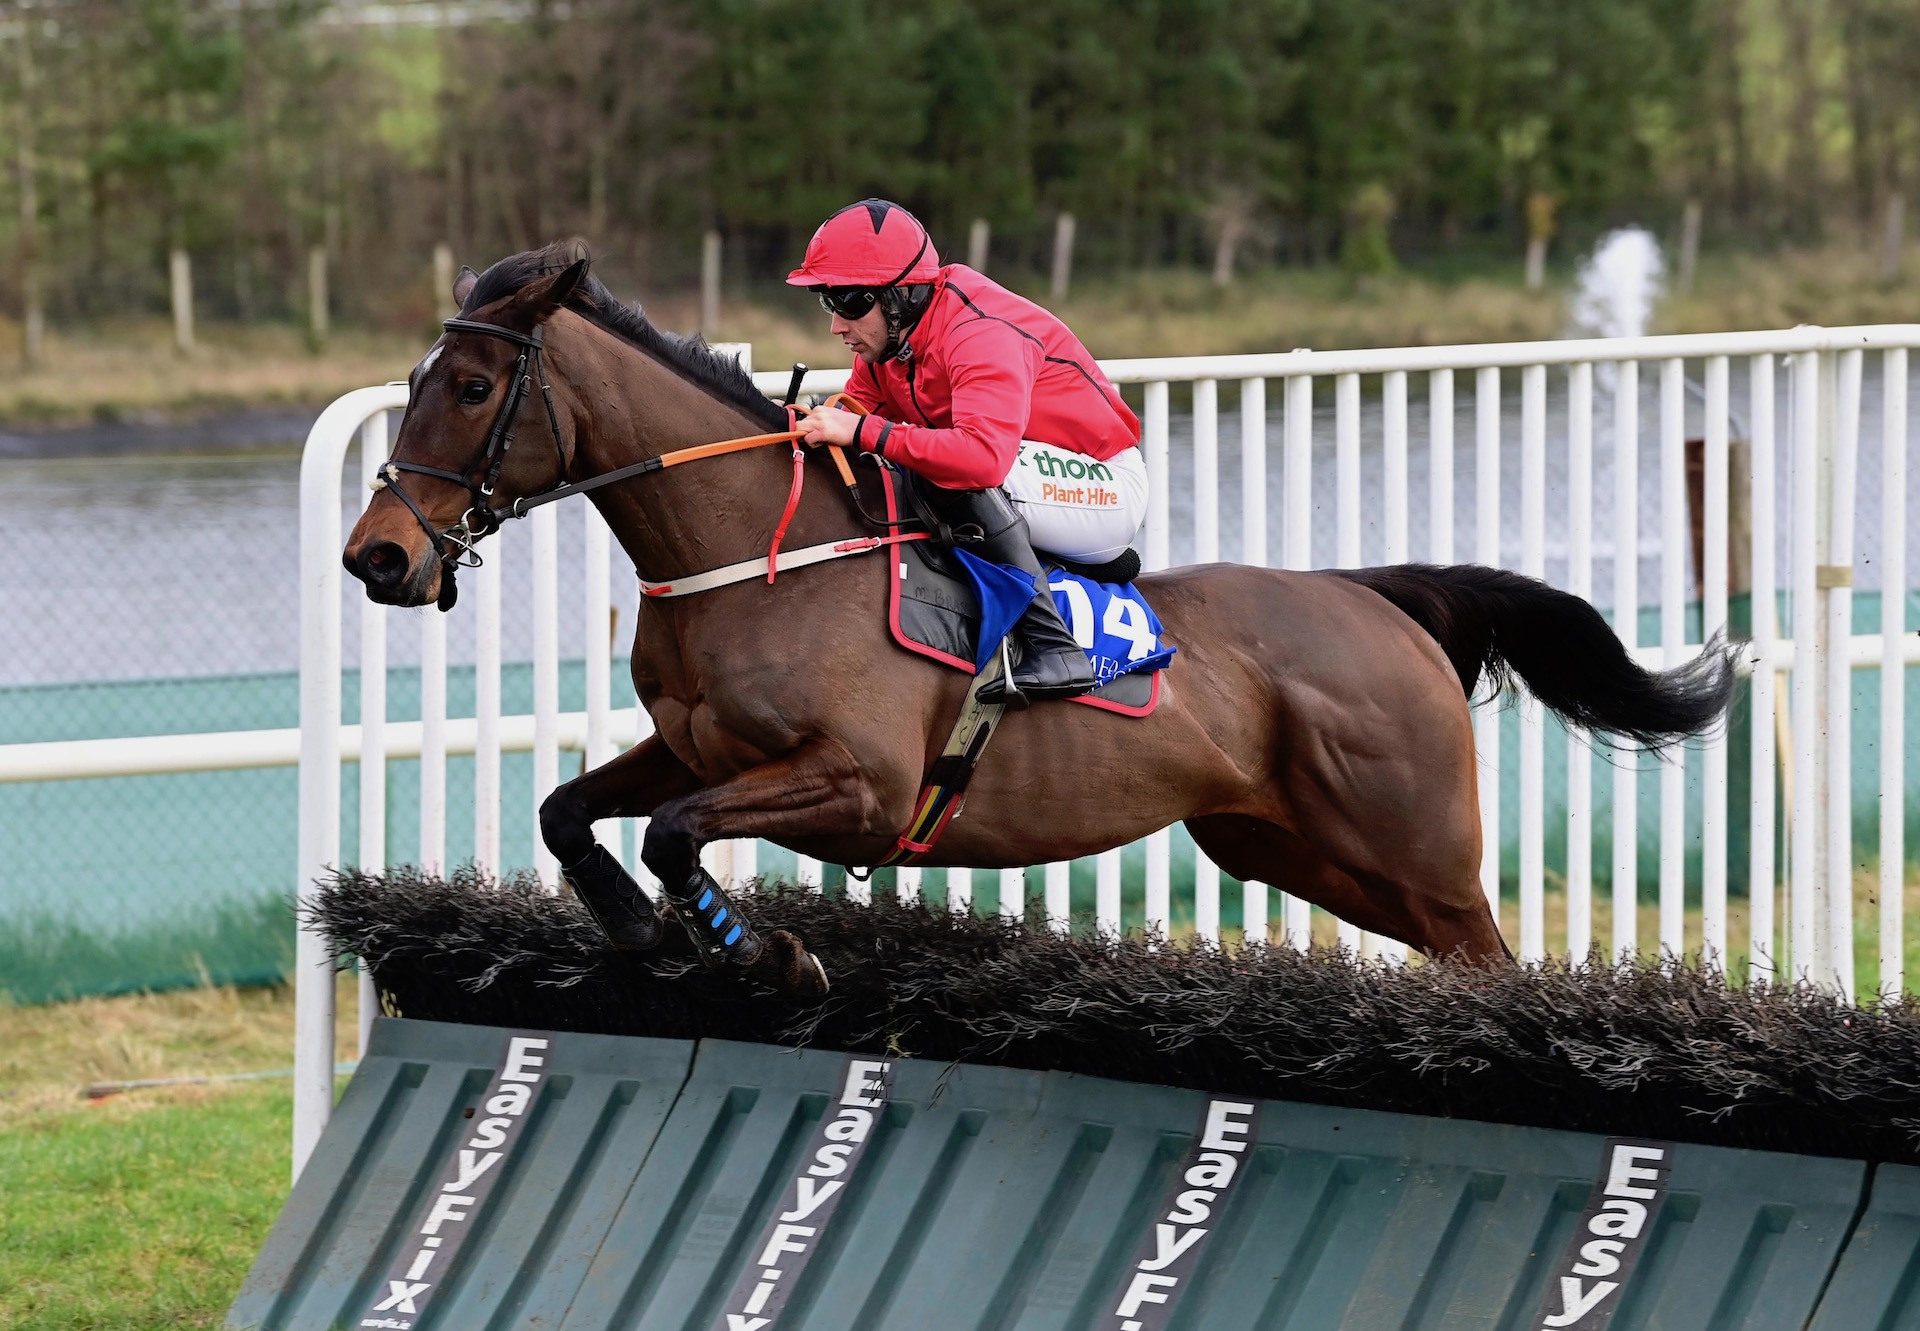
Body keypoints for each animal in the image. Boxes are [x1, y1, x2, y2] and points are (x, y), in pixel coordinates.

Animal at [341, 245, 1743, 998]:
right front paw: (640, 927)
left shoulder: (856, 783)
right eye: (413, 379)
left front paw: (764, 951)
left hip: (1418, 850)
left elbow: (679, 833)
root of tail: (1374, 598)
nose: (377, 556)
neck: (757, 558)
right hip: (1292, 846)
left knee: (1489, 956)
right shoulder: (696, 745)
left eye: (475, 385)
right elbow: (570, 809)